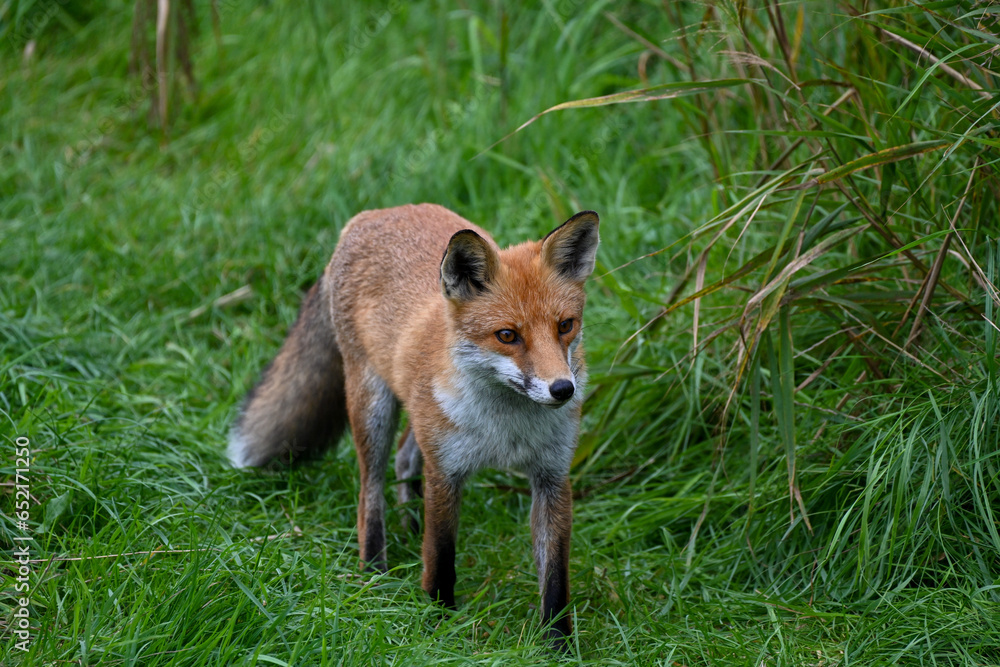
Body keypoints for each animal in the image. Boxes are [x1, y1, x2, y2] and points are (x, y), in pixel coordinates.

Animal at [228, 203, 599, 648]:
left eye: (565, 325)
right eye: (508, 335)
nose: (562, 389)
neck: (506, 428)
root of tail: (373, 214)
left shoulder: (552, 476)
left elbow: (555, 579)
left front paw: (557, 645)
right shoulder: (445, 472)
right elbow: (441, 557)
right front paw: (440, 626)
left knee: (405, 459)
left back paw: (409, 530)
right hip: (372, 409)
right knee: (370, 495)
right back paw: (374, 573)